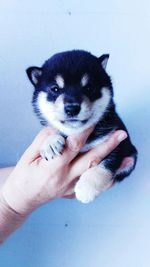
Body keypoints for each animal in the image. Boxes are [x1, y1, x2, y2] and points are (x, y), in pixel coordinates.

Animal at [25, 50, 137, 204]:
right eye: (55, 89)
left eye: (89, 87)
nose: (72, 108)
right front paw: (50, 142)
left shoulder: (118, 140)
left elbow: (105, 165)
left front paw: (86, 188)